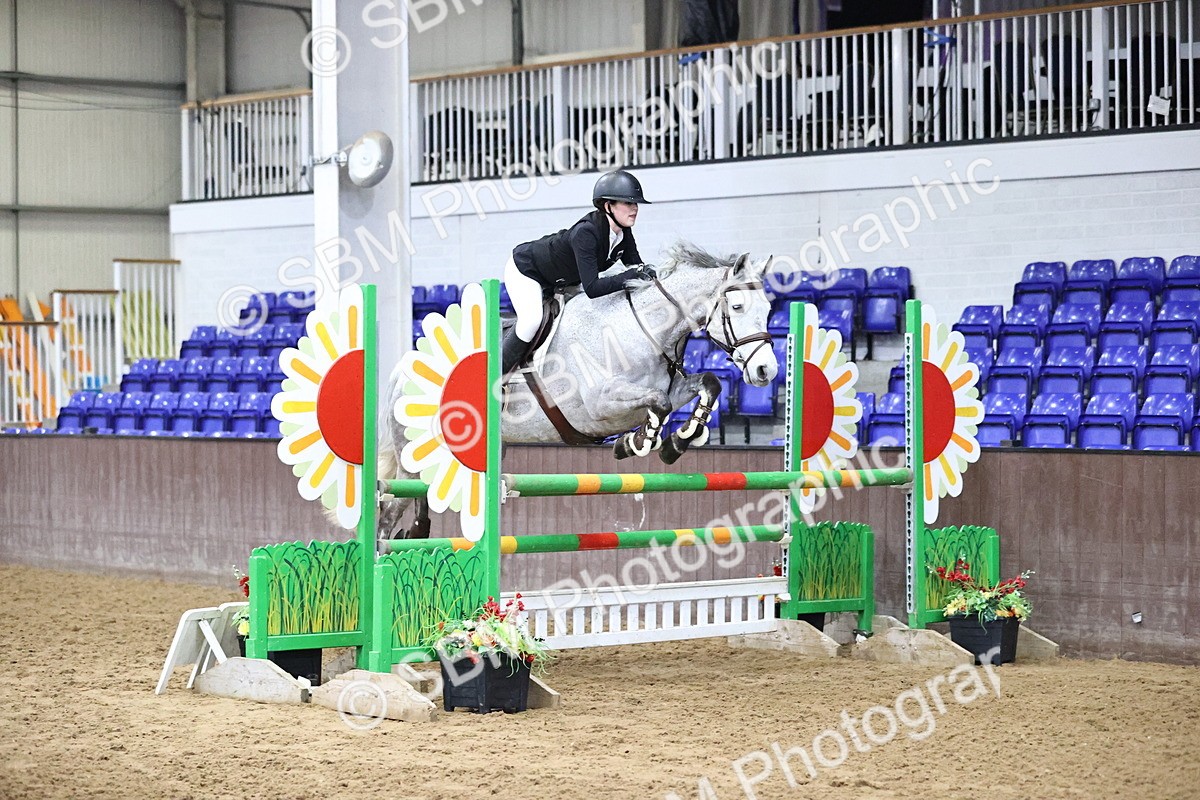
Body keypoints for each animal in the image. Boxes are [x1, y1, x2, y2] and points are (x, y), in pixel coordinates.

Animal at [377, 242, 779, 538]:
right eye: (737, 306)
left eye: (770, 308)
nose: (767, 371)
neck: (639, 328)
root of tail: (403, 367)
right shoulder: (599, 406)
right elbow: (660, 403)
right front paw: (637, 442)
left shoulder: (673, 386)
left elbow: (706, 384)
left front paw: (678, 441)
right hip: (412, 460)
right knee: (388, 510)